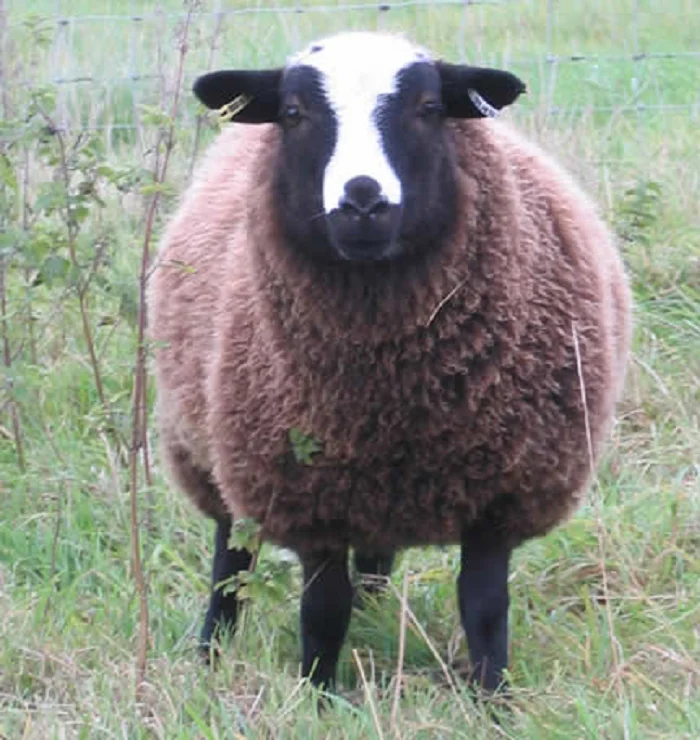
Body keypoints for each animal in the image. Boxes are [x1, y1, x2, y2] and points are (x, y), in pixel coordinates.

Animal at [148, 31, 632, 693]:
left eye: (429, 107)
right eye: (294, 112)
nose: (362, 201)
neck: (394, 391)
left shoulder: (500, 493)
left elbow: (484, 607)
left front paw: (495, 698)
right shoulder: (309, 496)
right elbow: (322, 609)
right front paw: (318, 695)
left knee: (373, 562)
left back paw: (374, 614)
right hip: (214, 454)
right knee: (231, 559)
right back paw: (211, 653)